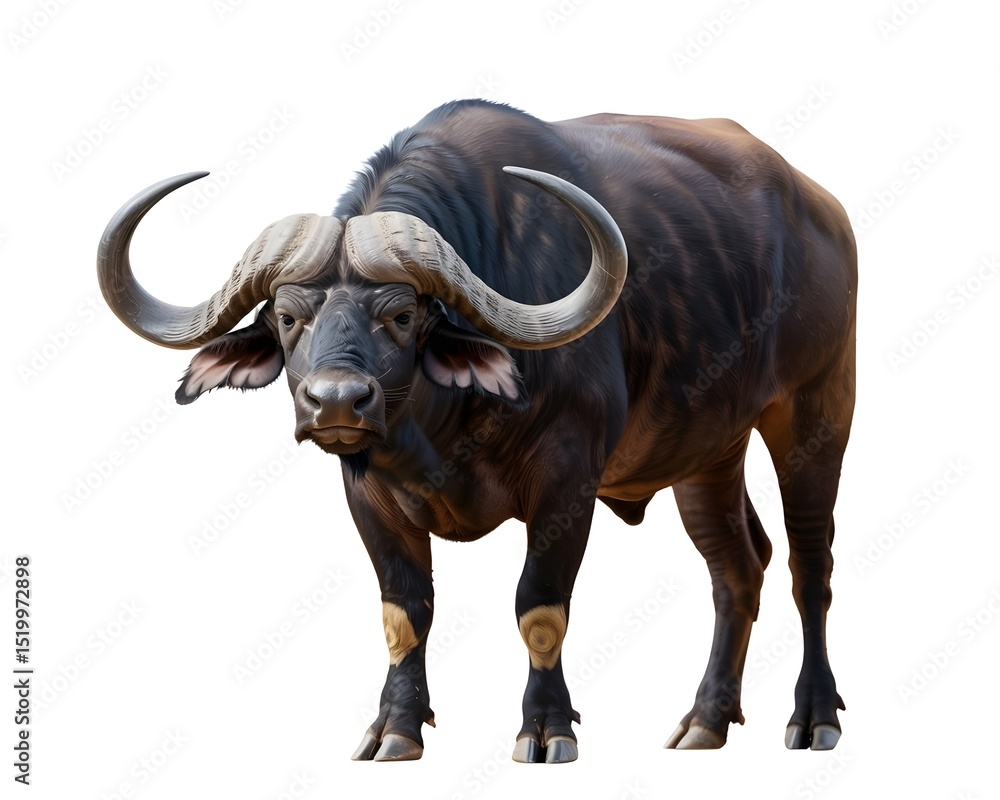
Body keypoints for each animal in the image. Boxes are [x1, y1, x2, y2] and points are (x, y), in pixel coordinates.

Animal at [97, 99, 856, 762]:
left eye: (403, 315)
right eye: (288, 317)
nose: (337, 403)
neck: (441, 428)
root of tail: (824, 210)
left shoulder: (567, 481)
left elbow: (539, 607)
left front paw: (546, 728)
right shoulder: (366, 493)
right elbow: (404, 613)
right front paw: (395, 730)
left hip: (816, 410)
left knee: (808, 562)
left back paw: (813, 716)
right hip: (709, 451)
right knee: (737, 566)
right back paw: (705, 720)